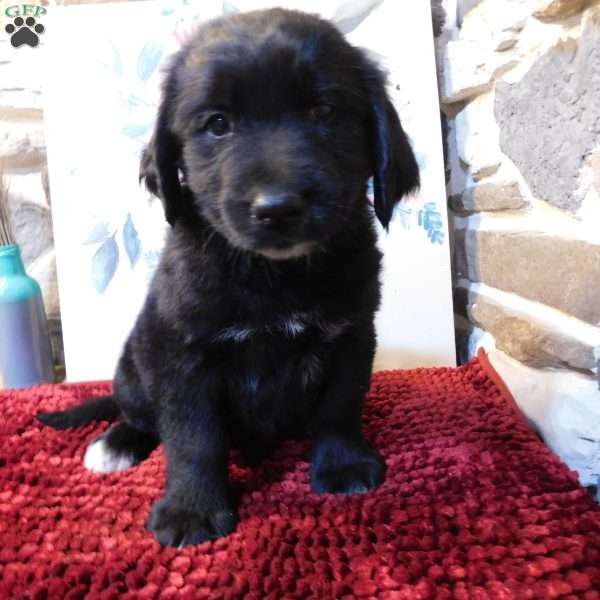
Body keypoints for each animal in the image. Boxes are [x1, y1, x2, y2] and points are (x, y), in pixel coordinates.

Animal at [38, 8, 418, 548]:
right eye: (218, 124)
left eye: (324, 112)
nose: (277, 207)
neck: (273, 273)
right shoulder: (184, 356)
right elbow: (193, 438)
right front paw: (191, 509)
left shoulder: (351, 335)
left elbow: (339, 405)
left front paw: (343, 466)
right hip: (133, 367)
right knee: (136, 414)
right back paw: (116, 444)